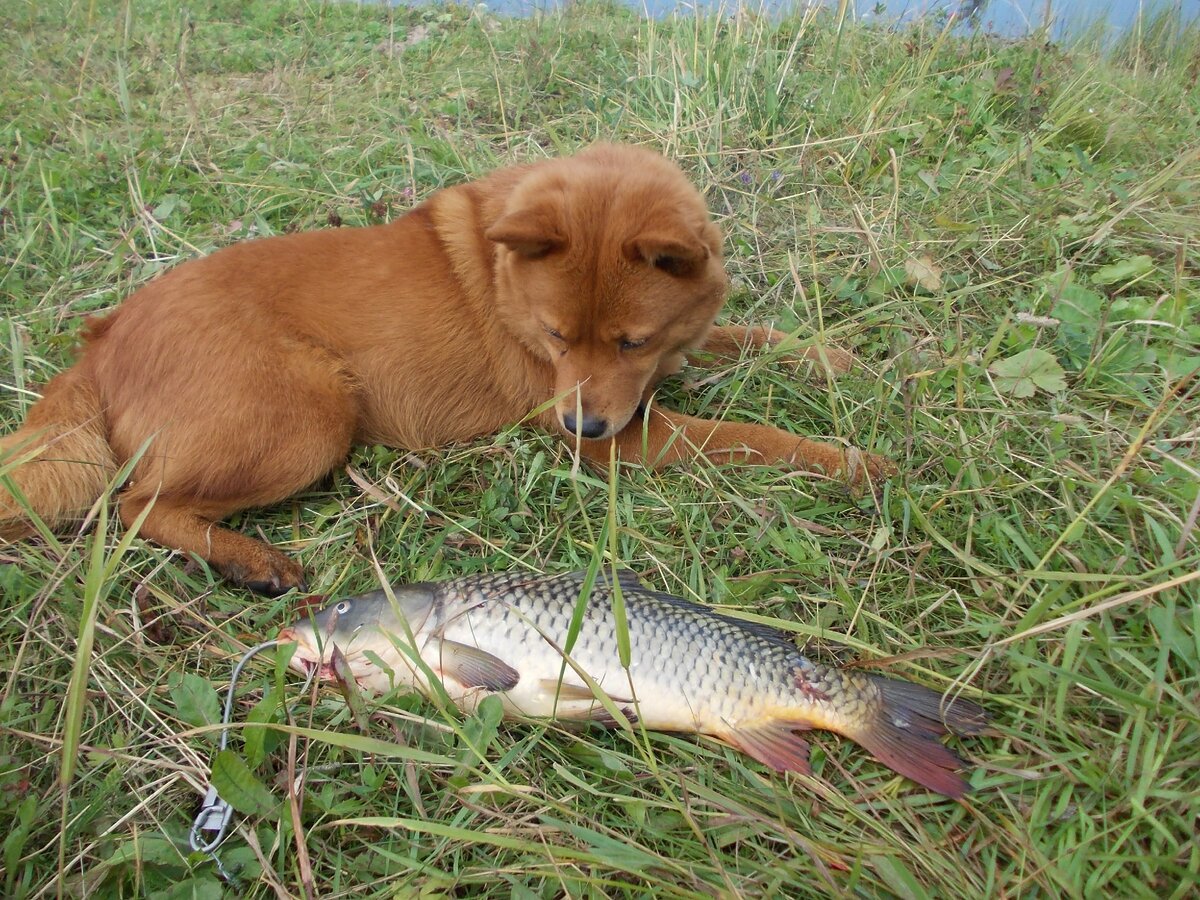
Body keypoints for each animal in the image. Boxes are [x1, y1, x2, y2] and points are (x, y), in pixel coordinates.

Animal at [0, 144, 892, 595]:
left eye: (631, 342)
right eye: (553, 336)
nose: (580, 425)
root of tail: (101, 339)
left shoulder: (665, 359)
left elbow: (743, 336)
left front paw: (827, 356)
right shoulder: (623, 438)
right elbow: (746, 437)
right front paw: (849, 460)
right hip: (313, 416)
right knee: (133, 506)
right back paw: (248, 561)